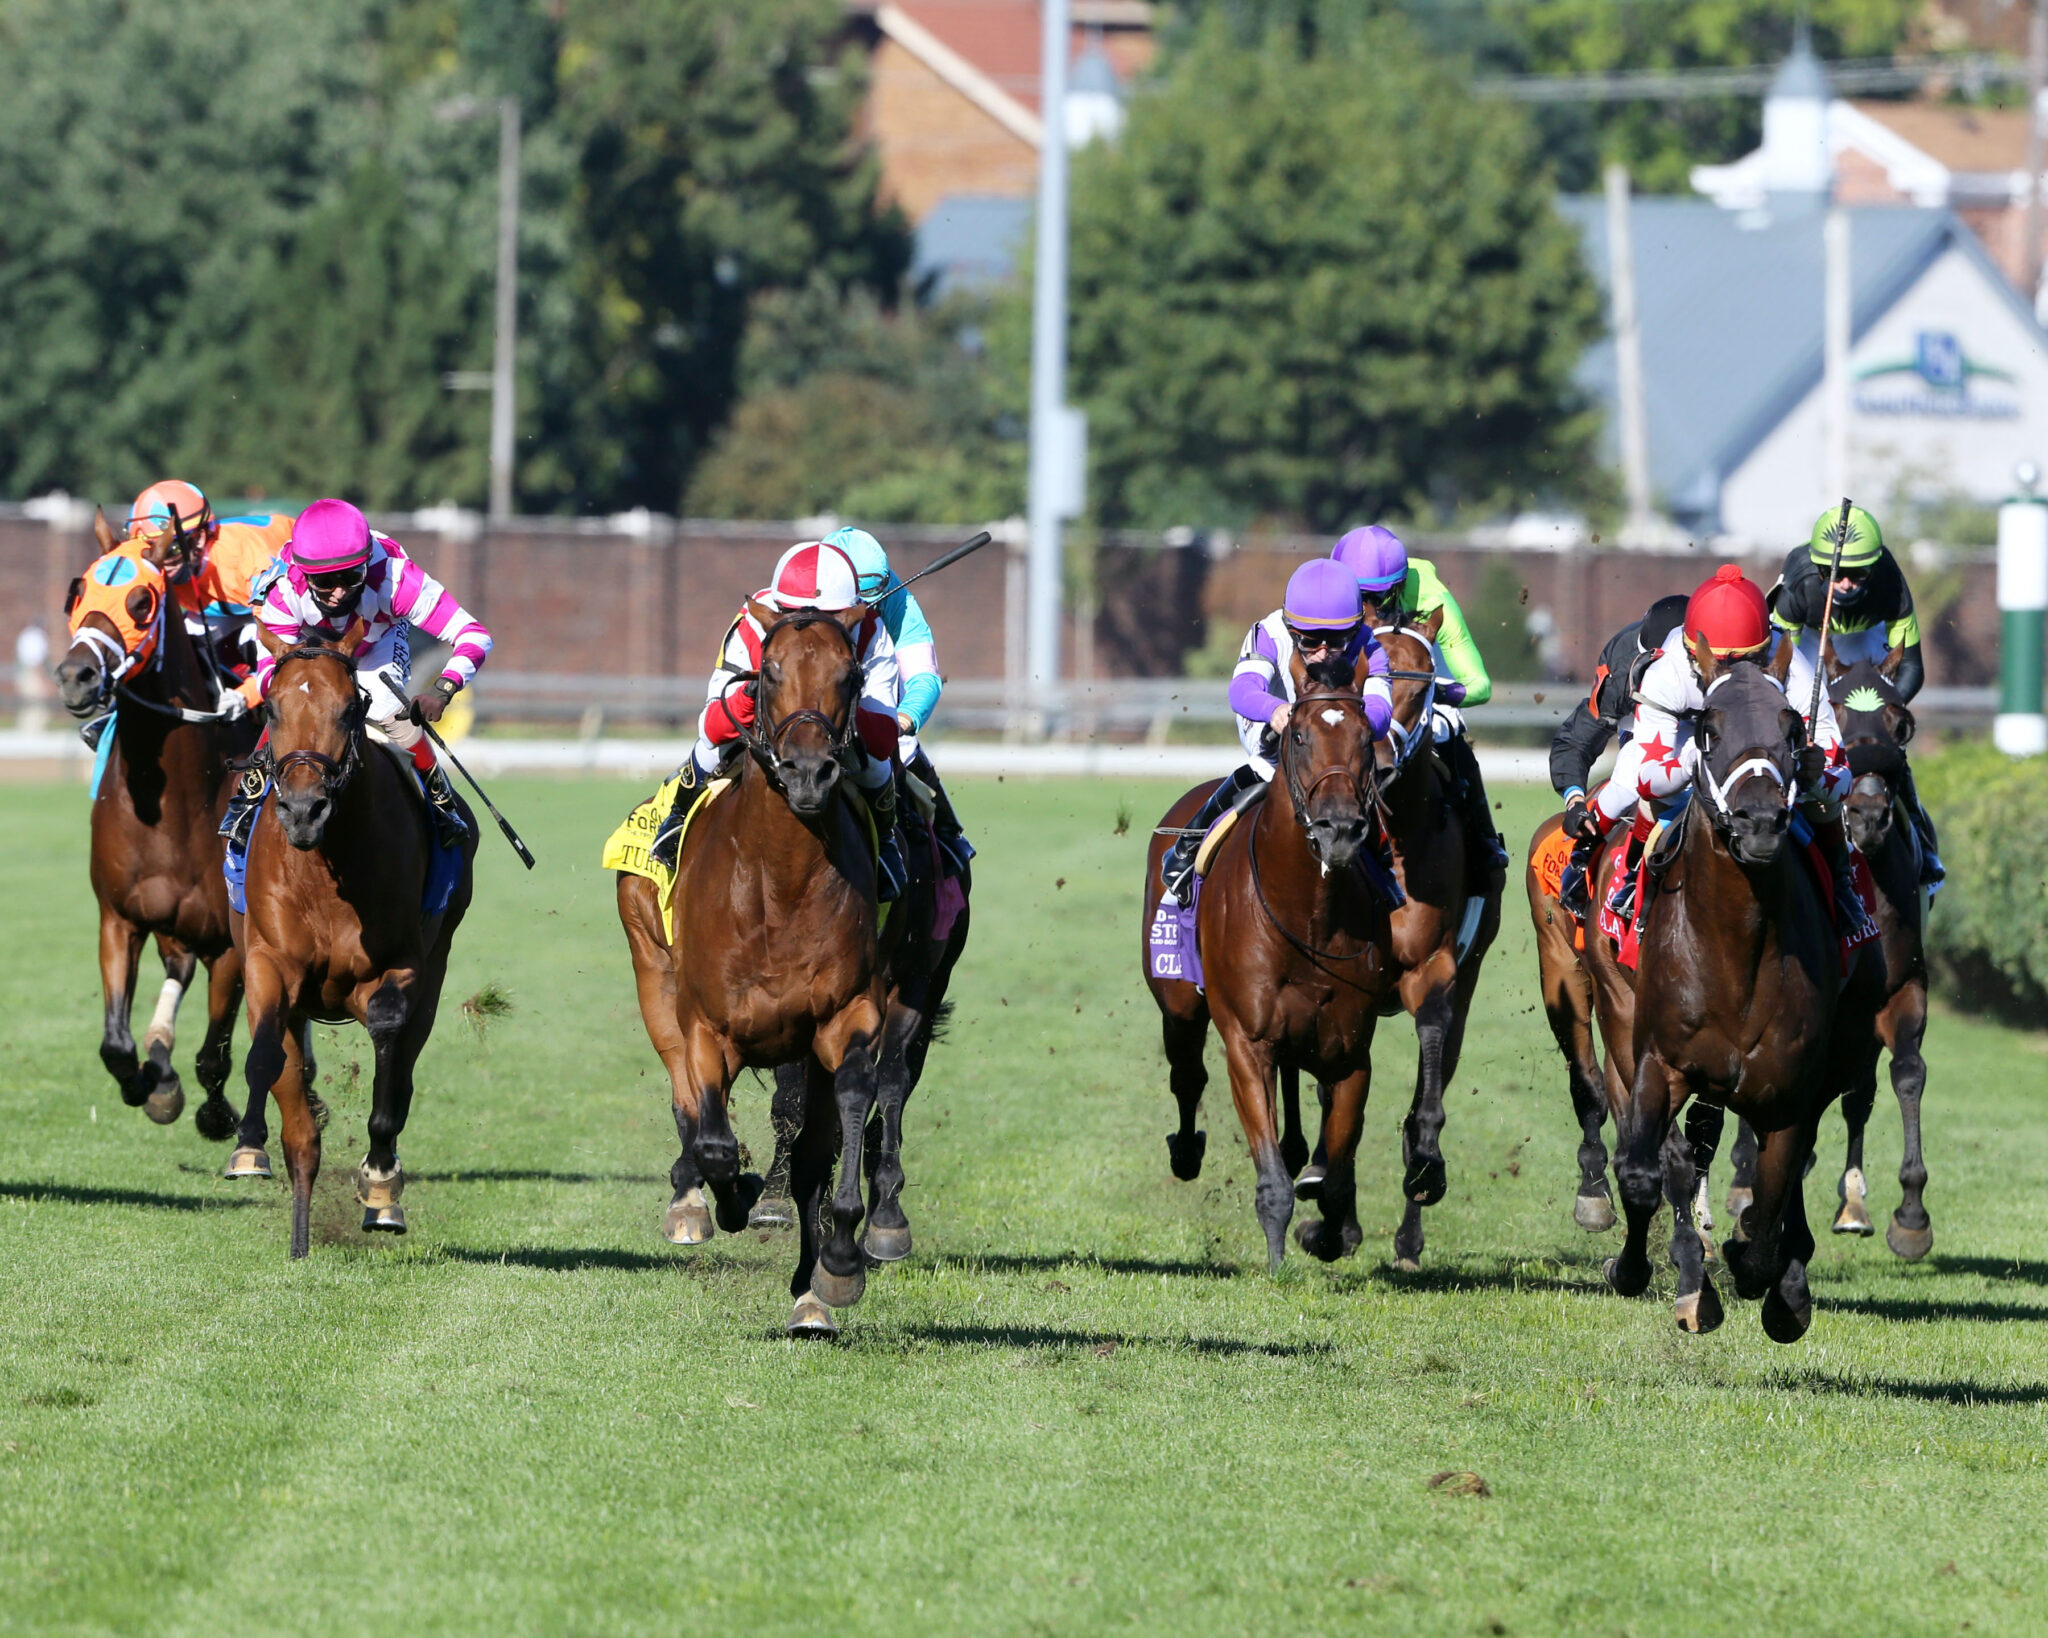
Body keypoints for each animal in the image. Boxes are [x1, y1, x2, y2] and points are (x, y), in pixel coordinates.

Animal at [56, 511, 264, 1138]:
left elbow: (216, 1055)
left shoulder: (229, 943)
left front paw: (218, 1116)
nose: (75, 676)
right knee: (176, 971)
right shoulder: (119, 919)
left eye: (141, 600)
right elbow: (116, 1046)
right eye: (78, 591)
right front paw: (153, 1084)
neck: (169, 808)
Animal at [235, 634, 479, 1253]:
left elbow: (388, 1040)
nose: (302, 809)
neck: (327, 866)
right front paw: (248, 1143)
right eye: (272, 710)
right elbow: (266, 1054)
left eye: (348, 710)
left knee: (403, 1068)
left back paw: (381, 1193)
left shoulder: (404, 964)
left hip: (436, 969)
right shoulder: (268, 960)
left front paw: (381, 1180)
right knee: (299, 1123)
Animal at [614, 601, 888, 1326]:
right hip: (654, 980)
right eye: (768, 673)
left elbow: (847, 1108)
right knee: (684, 1096)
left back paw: (810, 1285)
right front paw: (730, 1187)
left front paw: (838, 1262)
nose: (808, 772)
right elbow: (711, 1139)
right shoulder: (708, 1026)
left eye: (851, 674)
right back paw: (692, 1199)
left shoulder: (846, 1012)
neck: (781, 881)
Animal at [1146, 651, 1400, 1269]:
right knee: (1187, 1074)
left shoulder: (1350, 1051)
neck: (1306, 913)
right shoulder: (1248, 1041)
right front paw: (1277, 1262)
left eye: (1366, 738)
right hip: (1179, 1004)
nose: (1339, 830)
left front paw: (1327, 1235)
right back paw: (1185, 1151)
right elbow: (1272, 1180)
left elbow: (1335, 1170)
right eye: (1301, 736)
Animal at [1605, 651, 1875, 1343]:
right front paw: (1640, 1271)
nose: (1759, 823)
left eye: (1791, 729)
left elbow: (1769, 1211)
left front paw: (1772, 1284)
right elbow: (1643, 1175)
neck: (1734, 949)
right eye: (1708, 730)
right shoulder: (1659, 1063)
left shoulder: (1789, 1091)